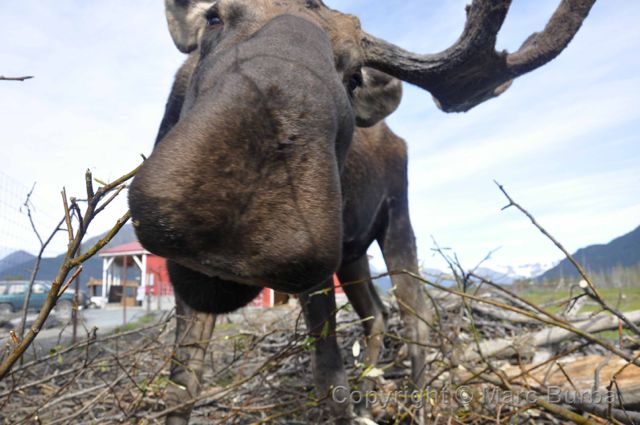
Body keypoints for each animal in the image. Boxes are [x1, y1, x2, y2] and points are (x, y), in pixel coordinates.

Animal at [129, 0, 596, 420]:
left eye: (354, 75)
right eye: (214, 18)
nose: (244, 200)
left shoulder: (317, 275)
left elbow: (328, 374)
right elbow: (181, 386)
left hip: (396, 223)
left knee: (414, 315)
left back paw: (412, 404)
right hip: (352, 253)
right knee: (377, 312)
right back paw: (368, 391)